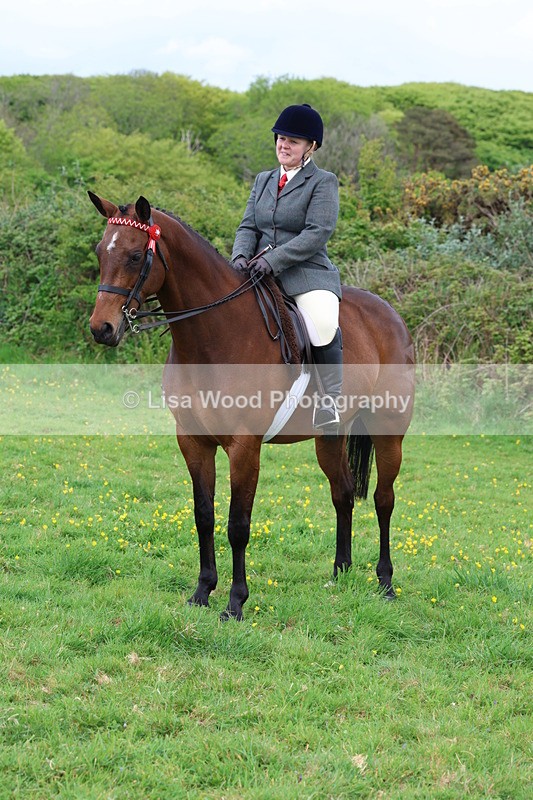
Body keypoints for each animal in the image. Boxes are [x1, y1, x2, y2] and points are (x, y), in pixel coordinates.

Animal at [88, 192, 415, 620]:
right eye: (100, 252)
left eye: (134, 255)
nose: (101, 329)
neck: (213, 338)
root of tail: (391, 315)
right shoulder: (193, 441)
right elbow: (204, 516)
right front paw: (201, 592)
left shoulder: (244, 447)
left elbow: (238, 524)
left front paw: (235, 603)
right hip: (329, 436)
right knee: (342, 493)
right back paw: (340, 573)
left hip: (388, 432)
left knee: (383, 500)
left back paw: (385, 583)